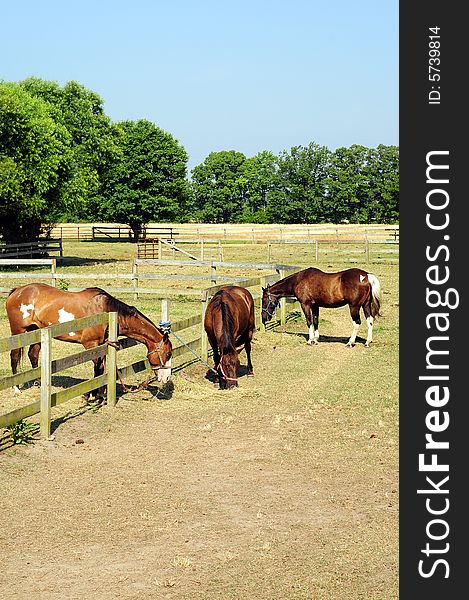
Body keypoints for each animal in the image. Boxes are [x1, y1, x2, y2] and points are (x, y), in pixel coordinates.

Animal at [5, 282, 174, 398]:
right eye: (167, 354)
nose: (166, 378)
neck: (106, 310)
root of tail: (17, 291)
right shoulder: (91, 344)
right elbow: (98, 366)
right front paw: (91, 394)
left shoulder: (102, 344)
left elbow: (100, 368)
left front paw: (99, 393)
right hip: (18, 332)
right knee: (14, 356)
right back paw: (16, 389)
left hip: (36, 331)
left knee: (33, 355)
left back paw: (38, 384)